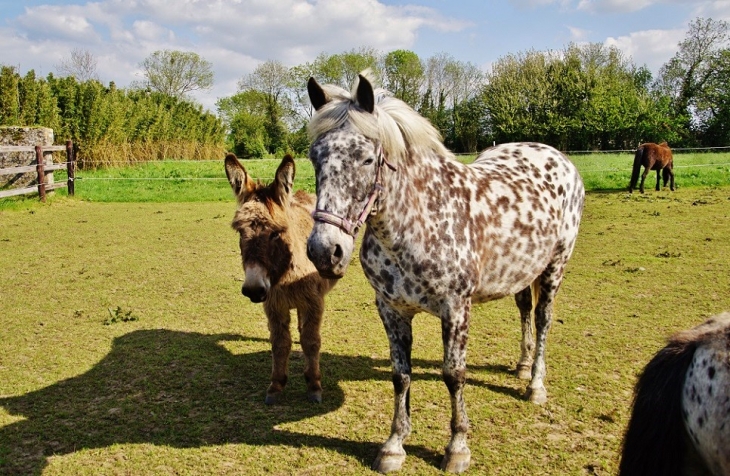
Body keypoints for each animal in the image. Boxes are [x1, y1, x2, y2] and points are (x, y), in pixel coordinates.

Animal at [304, 71, 584, 472]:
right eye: (314, 157)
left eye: (368, 158)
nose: (325, 251)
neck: (421, 220)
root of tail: (557, 157)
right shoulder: (391, 310)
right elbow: (400, 375)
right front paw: (394, 445)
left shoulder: (455, 310)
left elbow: (454, 375)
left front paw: (457, 448)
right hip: (522, 272)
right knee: (525, 311)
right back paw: (521, 365)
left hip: (554, 268)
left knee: (544, 319)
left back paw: (535, 385)